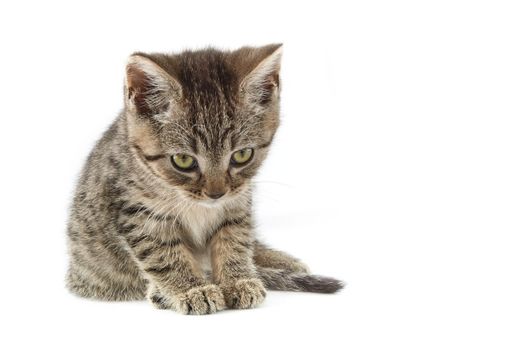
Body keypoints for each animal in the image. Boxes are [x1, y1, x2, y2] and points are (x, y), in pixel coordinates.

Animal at [65, 43, 342, 314]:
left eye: (242, 155)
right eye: (183, 160)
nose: (216, 193)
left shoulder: (237, 202)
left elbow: (235, 241)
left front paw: (238, 279)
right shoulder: (139, 215)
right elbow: (163, 254)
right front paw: (192, 289)